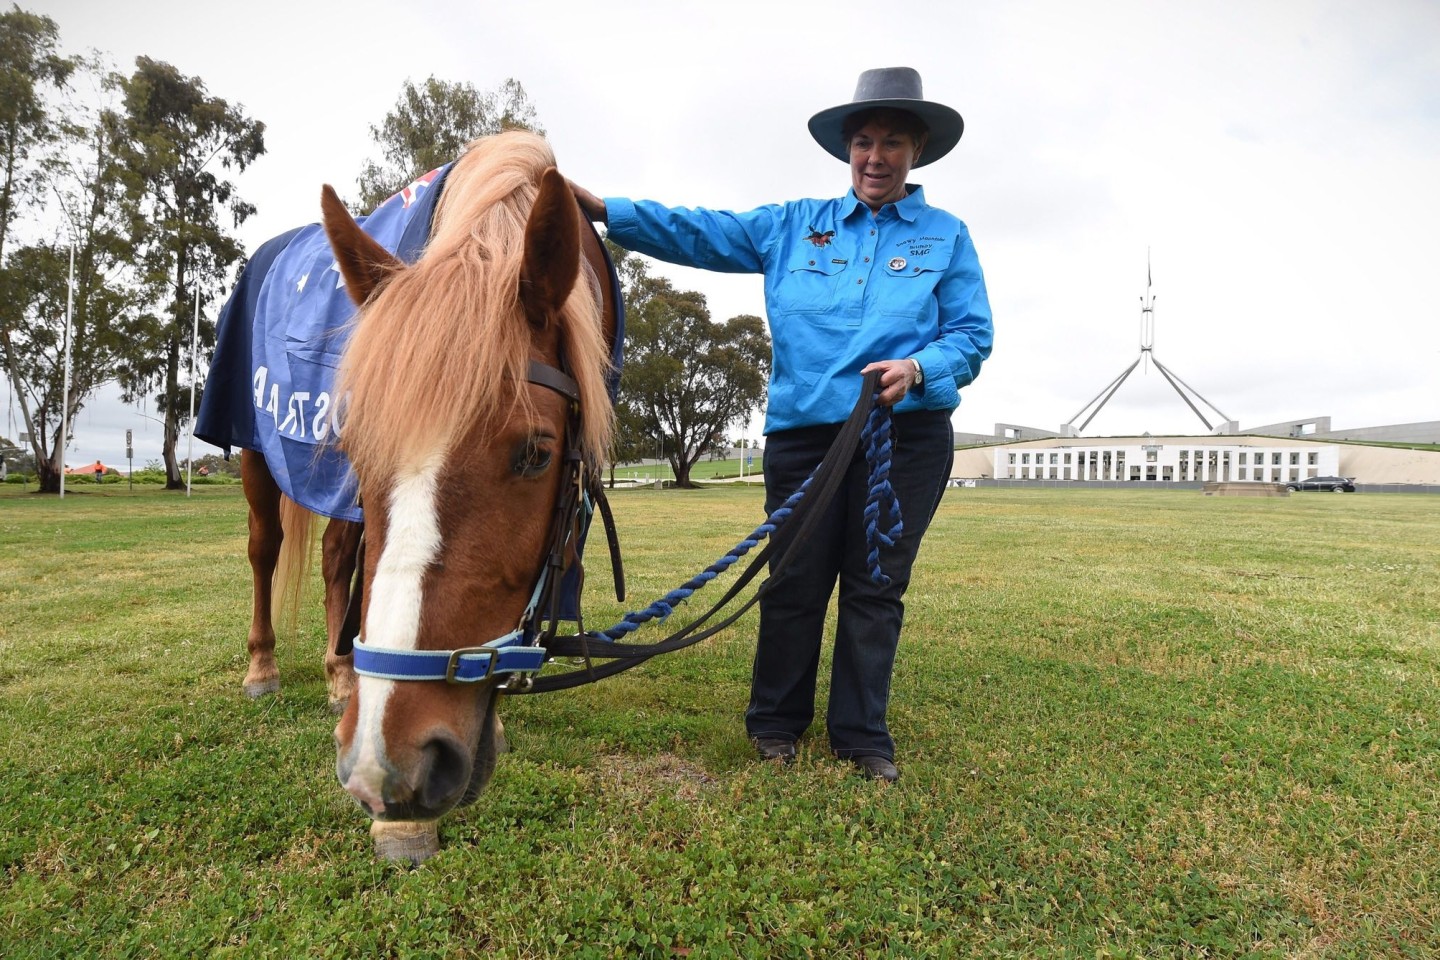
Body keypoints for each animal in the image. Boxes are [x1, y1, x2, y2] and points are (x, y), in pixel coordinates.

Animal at [234, 131, 613, 857]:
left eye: (536, 454)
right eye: (357, 449)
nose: (389, 766)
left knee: (335, 557)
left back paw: (338, 673)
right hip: (251, 448)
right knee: (265, 550)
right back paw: (264, 669)